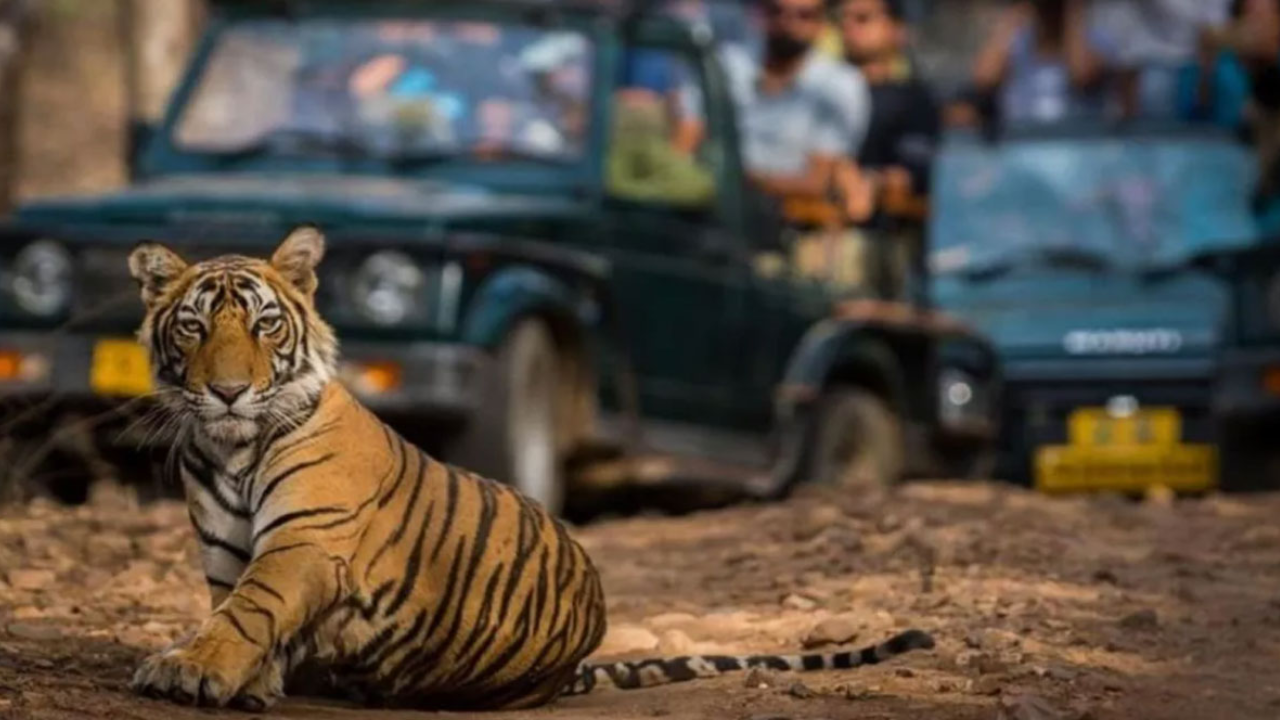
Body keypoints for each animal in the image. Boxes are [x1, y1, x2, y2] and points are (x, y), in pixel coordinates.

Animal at [125, 225, 936, 711]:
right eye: (193, 326)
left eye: (265, 325)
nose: (229, 391)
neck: (231, 447)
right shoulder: (226, 550)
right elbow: (235, 608)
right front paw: (242, 677)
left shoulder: (306, 540)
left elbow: (250, 609)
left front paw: (193, 670)